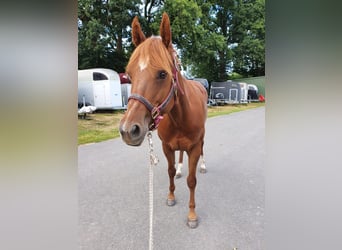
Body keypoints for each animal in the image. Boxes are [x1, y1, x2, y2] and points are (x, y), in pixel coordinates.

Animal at [119, 13, 207, 229]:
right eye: (129, 75)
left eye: (162, 74)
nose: (128, 130)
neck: (180, 116)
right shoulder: (167, 146)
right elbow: (170, 170)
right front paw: (171, 196)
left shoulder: (193, 147)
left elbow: (192, 180)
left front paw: (192, 215)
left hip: (202, 138)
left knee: (203, 149)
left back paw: (202, 166)